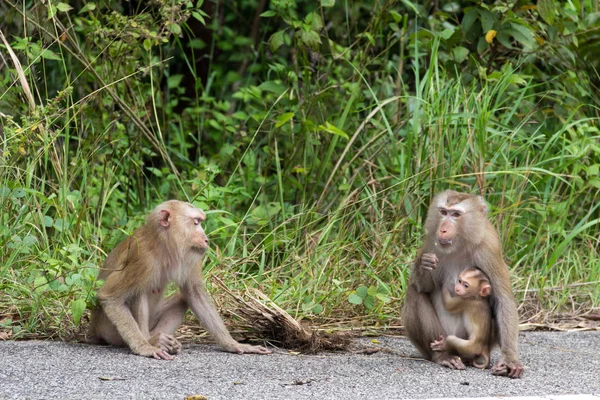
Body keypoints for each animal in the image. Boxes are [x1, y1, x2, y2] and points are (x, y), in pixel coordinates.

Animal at [88, 200, 272, 360]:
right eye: (196, 222)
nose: (206, 239)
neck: (162, 245)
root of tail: (94, 329)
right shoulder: (142, 258)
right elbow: (109, 296)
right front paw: (144, 347)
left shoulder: (191, 255)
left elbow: (194, 293)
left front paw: (233, 344)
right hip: (109, 331)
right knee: (138, 291)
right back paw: (151, 340)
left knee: (182, 299)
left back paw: (160, 338)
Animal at [404, 191, 524, 378]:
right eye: (443, 212)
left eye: (456, 215)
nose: (443, 229)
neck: (461, 244)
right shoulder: (432, 243)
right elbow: (423, 287)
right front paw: (424, 264)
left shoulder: (489, 248)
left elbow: (502, 299)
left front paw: (510, 359)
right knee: (414, 293)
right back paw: (443, 355)